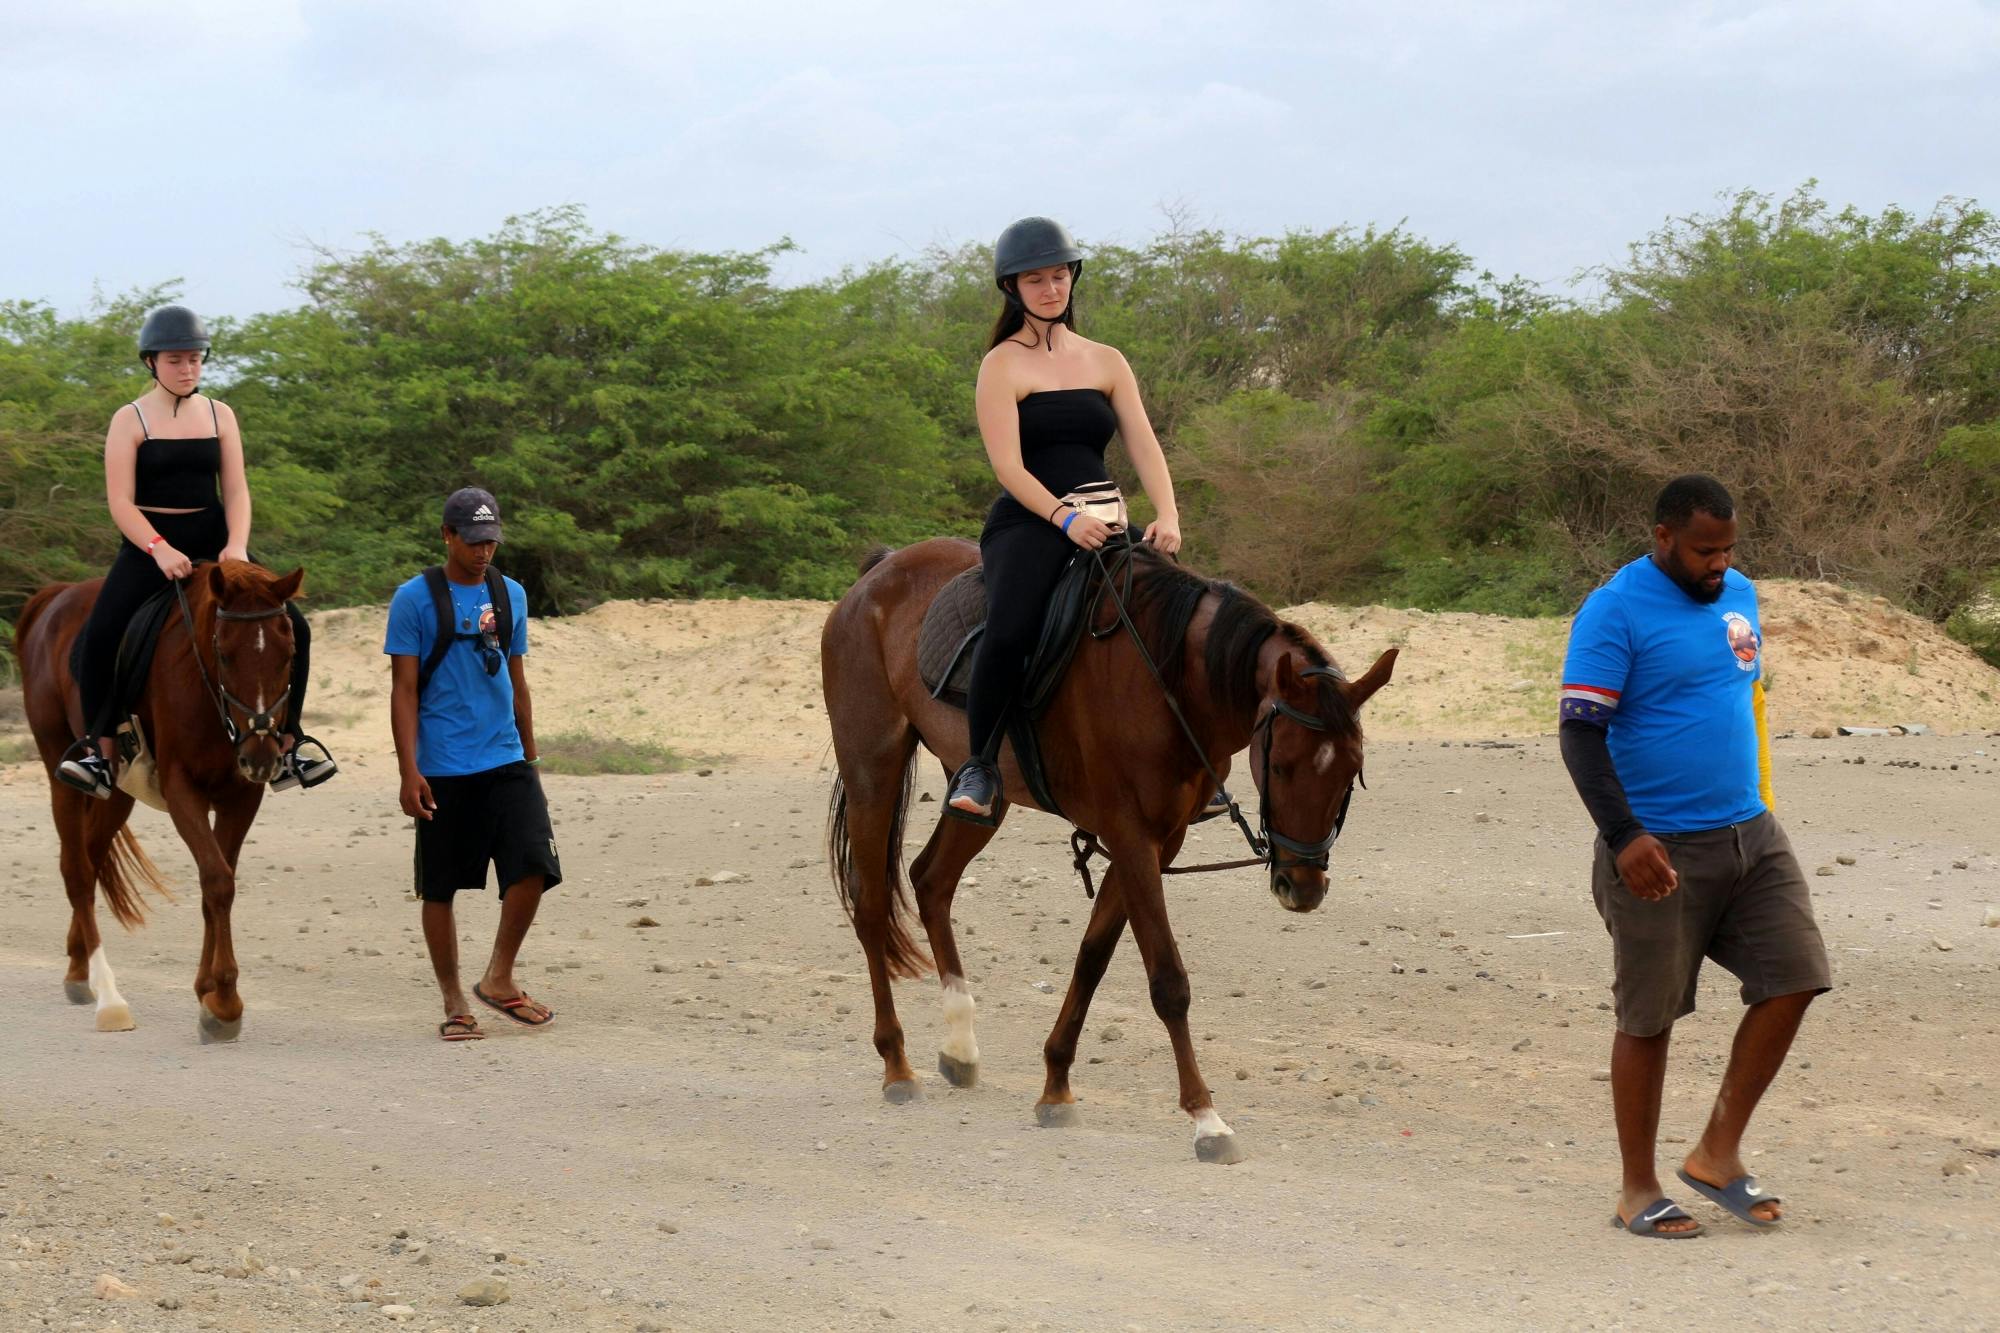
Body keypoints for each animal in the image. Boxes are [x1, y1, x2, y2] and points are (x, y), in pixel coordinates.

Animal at [16, 560, 304, 1040]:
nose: (261, 756)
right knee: (77, 870)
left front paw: (208, 992)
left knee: (93, 857)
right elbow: (217, 880)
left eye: (289, 654)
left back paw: (78, 969)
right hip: (61, 771)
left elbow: (218, 884)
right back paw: (109, 997)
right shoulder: (182, 790)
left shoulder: (241, 796)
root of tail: (57, 596)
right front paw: (225, 1002)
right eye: (225, 654)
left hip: (117, 793)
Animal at [820, 536, 1400, 1160]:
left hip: (978, 794)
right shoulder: (1130, 836)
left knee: (931, 881)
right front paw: (1206, 1118)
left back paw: (959, 1046)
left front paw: (1056, 1086)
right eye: (1283, 765)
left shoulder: (1158, 842)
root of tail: (877, 574)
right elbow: (1168, 982)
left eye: (1352, 771)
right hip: (872, 769)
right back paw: (897, 1066)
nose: (1303, 886)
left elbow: (1093, 958)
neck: (1170, 678)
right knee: (872, 906)